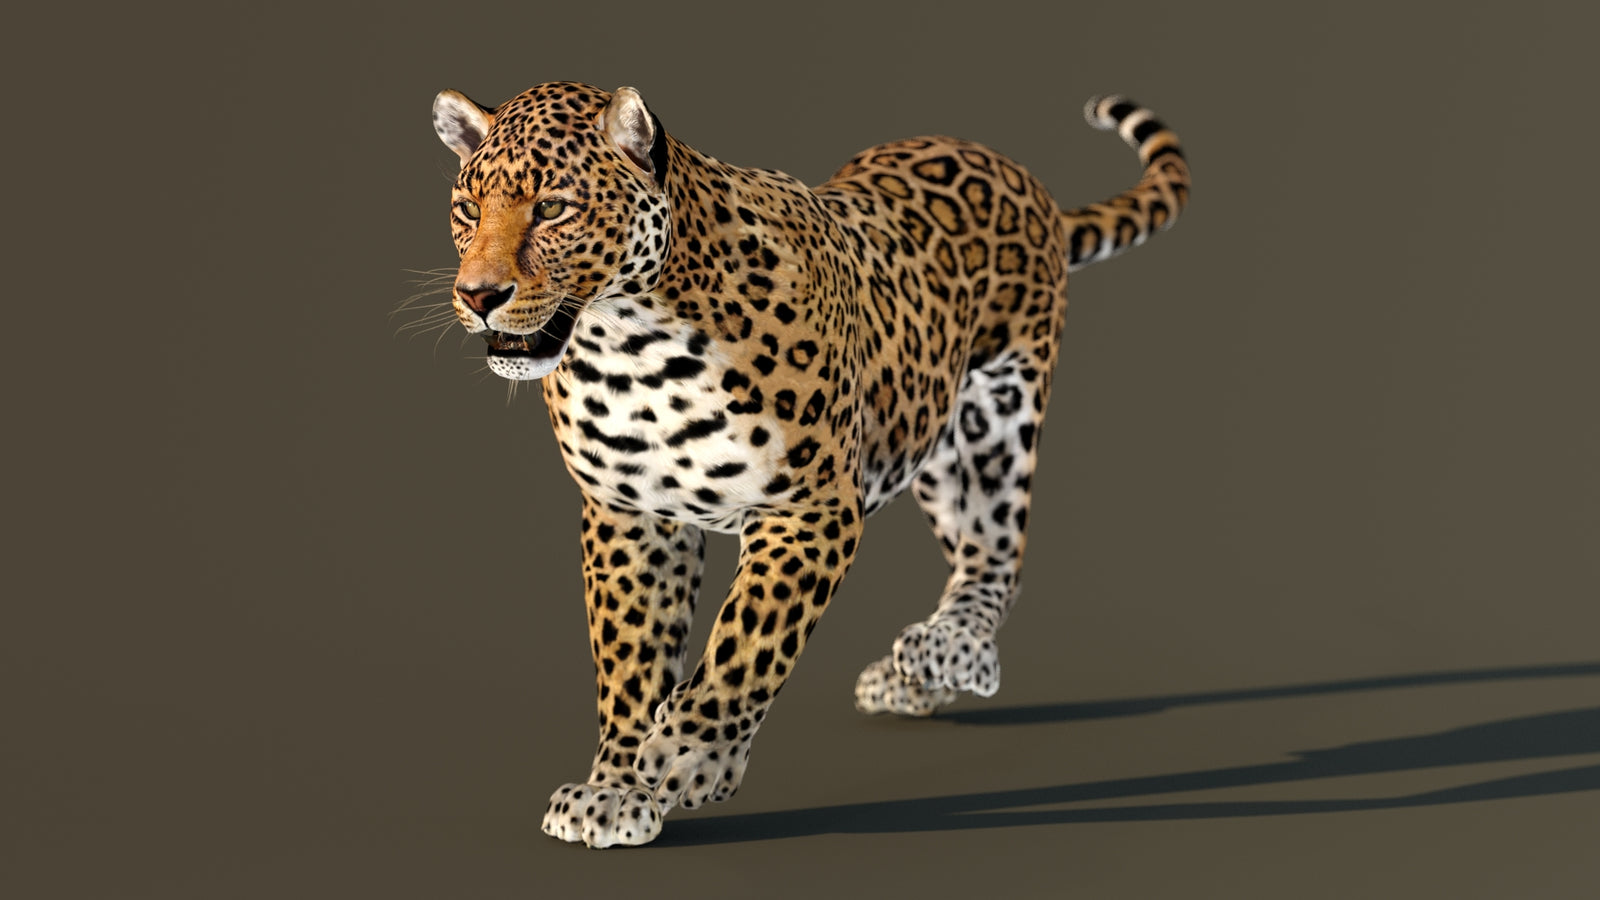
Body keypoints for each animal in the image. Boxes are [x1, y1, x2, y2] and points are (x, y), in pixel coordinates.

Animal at [426, 80, 1190, 847]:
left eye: (554, 207)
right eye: (468, 209)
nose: (478, 296)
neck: (628, 347)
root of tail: (1013, 170)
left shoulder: (809, 507)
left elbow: (749, 638)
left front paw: (690, 753)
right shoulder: (631, 516)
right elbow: (630, 658)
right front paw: (614, 788)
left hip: (993, 419)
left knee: (997, 550)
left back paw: (947, 649)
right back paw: (909, 678)